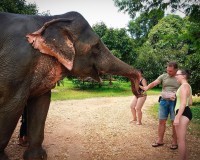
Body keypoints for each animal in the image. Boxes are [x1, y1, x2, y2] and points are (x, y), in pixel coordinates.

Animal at [0, 10, 140, 159]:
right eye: (96, 46)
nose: (139, 88)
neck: (51, 19)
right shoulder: (17, 60)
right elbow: (12, 105)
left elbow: (41, 103)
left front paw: (37, 157)